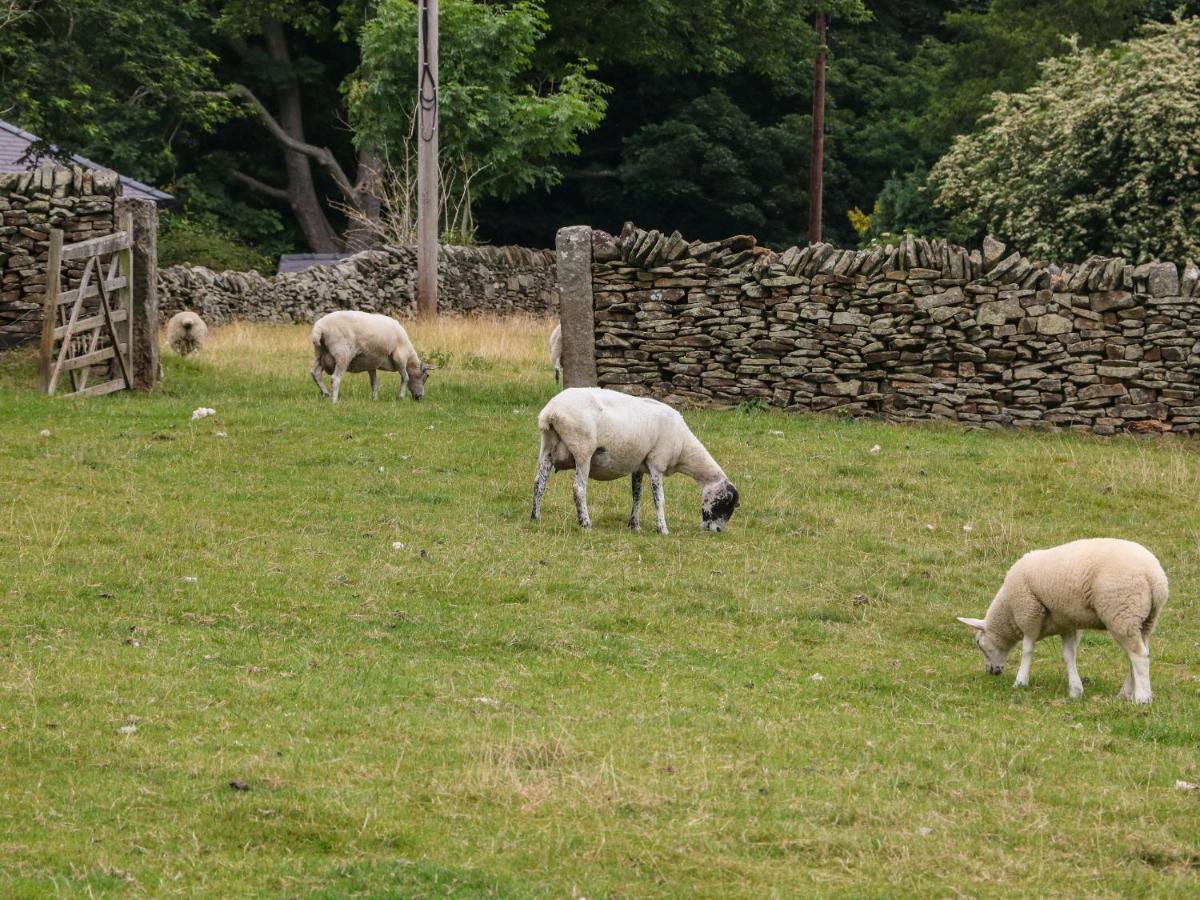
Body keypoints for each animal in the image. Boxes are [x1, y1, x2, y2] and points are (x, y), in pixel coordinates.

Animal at [535, 388, 739, 535]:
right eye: (726, 503)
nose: (718, 531)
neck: (683, 447)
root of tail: (551, 412)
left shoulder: (639, 466)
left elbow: (637, 496)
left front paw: (635, 525)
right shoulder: (657, 463)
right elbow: (659, 499)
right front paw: (663, 529)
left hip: (547, 448)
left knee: (539, 483)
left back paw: (535, 517)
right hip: (582, 450)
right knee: (578, 488)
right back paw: (585, 524)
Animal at [960, 535, 1166, 705]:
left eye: (978, 642)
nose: (990, 672)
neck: (1008, 610)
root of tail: (1155, 578)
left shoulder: (1030, 612)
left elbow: (1027, 650)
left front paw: (1020, 681)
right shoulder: (1067, 623)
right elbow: (1069, 655)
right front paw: (1075, 690)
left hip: (1122, 612)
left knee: (1139, 656)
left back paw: (1142, 698)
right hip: (1145, 620)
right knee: (1138, 654)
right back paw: (1125, 694)